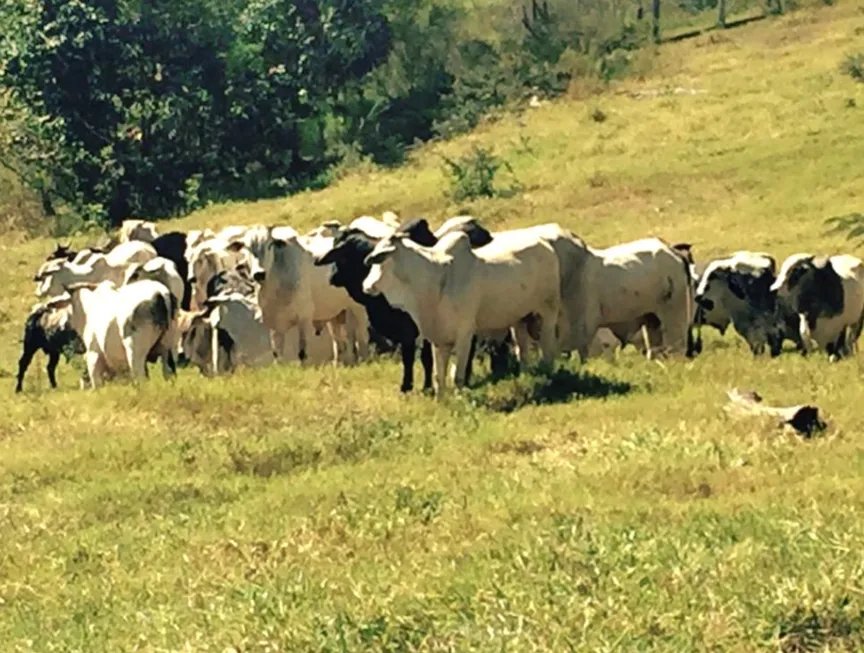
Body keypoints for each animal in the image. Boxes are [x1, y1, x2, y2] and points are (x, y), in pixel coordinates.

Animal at [362, 229, 560, 398]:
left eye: (379, 260)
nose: (366, 286)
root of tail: (545, 244)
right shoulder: (438, 338)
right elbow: (438, 376)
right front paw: (441, 400)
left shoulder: (465, 334)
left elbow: (458, 375)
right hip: (519, 319)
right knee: (523, 349)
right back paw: (525, 376)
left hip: (548, 310)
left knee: (548, 345)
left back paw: (549, 375)